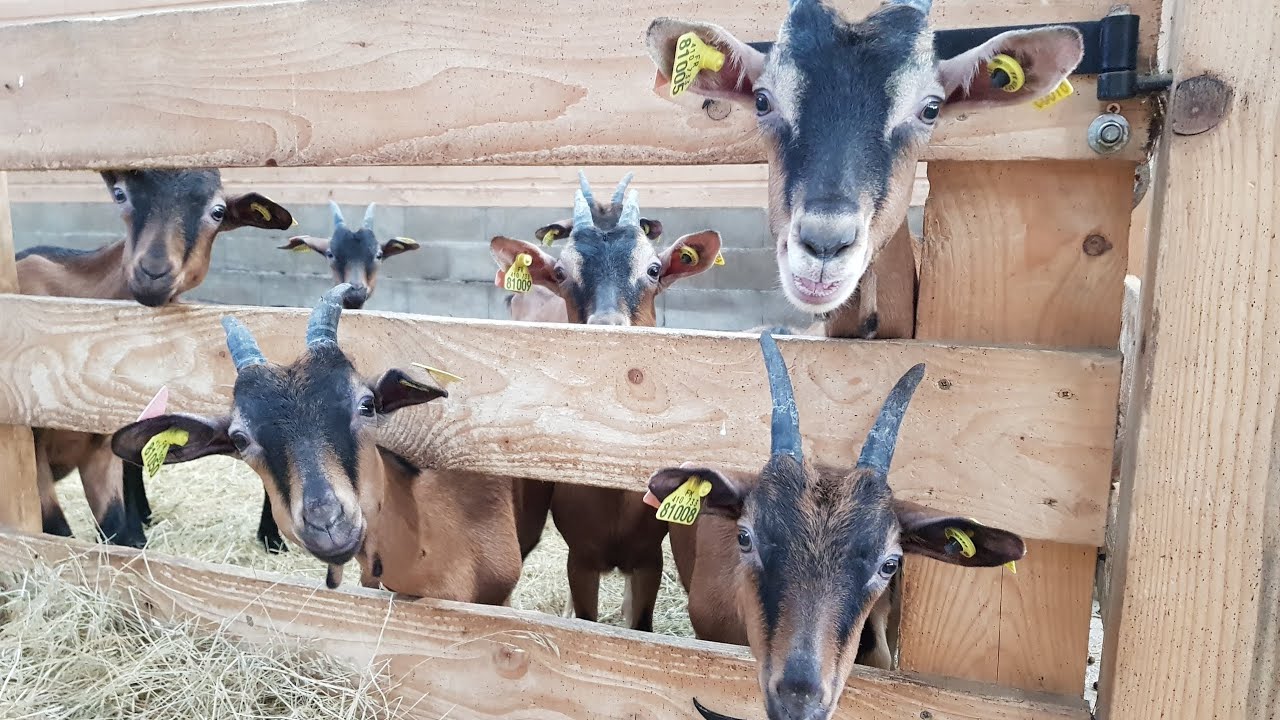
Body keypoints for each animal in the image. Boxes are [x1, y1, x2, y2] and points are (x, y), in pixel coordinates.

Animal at [17, 169, 293, 548]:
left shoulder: (99, 449)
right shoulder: (30, 451)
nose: (153, 271)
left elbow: (117, 531)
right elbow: (57, 534)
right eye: (120, 194)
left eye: (218, 212)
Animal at [489, 171, 719, 631]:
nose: (607, 333)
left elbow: (641, 625)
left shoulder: (648, 558)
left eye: (653, 269)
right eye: (562, 272)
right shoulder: (581, 559)